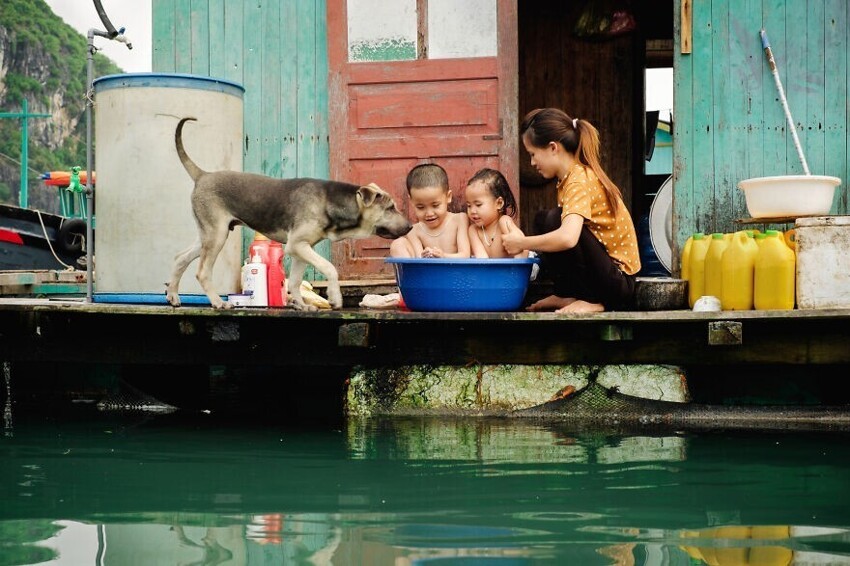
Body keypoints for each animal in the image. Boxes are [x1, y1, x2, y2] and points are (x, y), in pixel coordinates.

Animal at [166, 116, 410, 310]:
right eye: (390, 208)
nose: (409, 226)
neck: (332, 201)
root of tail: (202, 175)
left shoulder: (302, 250)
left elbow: (294, 282)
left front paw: (301, 305)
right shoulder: (297, 245)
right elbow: (330, 268)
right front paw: (334, 297)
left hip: (208, 235)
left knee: (179, 258)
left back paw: (173, 296)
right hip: (216, 236)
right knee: (202, 271)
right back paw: (218, 302)